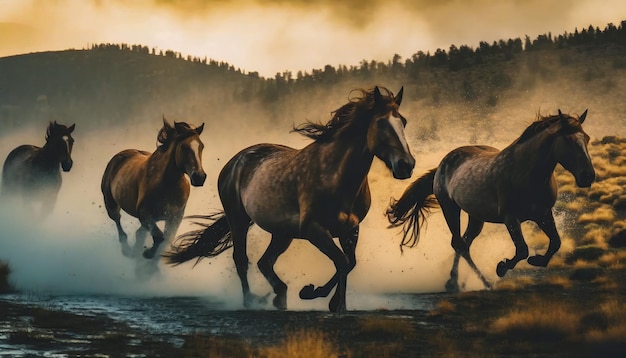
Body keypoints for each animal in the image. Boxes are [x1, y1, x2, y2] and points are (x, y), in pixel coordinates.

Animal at [101, 119, 206, 262]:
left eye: (201, 146)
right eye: (183, 147)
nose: (200, 177)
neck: (167, 186)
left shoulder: (175, 217)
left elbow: (167, 238)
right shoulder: (145, 216)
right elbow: (160, 237)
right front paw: (148, 254)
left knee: (138, 232)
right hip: (110, 203)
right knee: (117, 220)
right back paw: (127, 248)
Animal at [165, 86, 414, 310]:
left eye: (403, 121)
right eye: (381, 123)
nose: (406, 165)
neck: (336, 176)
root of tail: (234, 162)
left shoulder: (350, 230)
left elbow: (349, 263)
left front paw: (328, 299)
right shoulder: (314, 230)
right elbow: (342, 261)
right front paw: (319, 295)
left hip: (282, 233)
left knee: (265, 262)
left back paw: (279, 295)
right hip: (239, 219)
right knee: (242, 259)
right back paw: (251, 301)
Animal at [388, 110, 592, 292]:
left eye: (587, 139)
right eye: (568, 140)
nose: (588, 176)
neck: (526, 172)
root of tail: (442, 164)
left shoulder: (543, 214)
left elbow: (555, 242)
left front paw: (537, 260)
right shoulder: (511, 218)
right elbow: (522, 250)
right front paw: (502, 267)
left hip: (476, 217)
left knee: (464, 243)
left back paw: (457, 282)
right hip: (450, 208)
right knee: (459, 244)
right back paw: (478, 283)